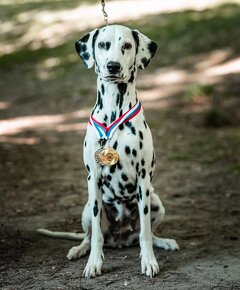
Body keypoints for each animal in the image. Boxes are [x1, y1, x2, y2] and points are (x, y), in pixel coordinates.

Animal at [37, 24, 179, 278]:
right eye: (103, 44)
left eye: (127, 45)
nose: (113, 66)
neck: (114, 109)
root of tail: (120, 239)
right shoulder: (93, 179)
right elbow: (96, 236)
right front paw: (94, 262)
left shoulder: (143, 179)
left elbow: (145, 233)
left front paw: (149, 261)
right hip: (87, 208)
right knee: (88, 235)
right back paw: (78, 249)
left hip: (155, 201)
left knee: (147, 233)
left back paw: (164, 242)